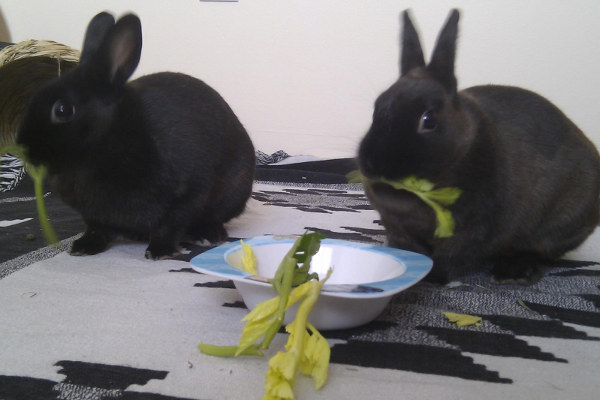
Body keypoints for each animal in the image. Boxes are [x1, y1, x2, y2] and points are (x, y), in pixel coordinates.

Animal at [16, 11, 255, 260]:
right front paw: (83, 246)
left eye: (62, 110)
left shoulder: (189, 192)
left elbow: (170, 224)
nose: (23, 147)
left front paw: (160, 251)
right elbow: (97, 229)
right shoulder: (95, 215)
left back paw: (209, 234)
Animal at [358, 9, 596, 284]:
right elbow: (408, 247)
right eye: (377, 108)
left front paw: (433, 276)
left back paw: (514, 270)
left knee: (540, 250)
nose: (374, 164)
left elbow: (454, 255)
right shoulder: (396, 225)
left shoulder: (476, 229)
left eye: (428, 120)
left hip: (564, 222)